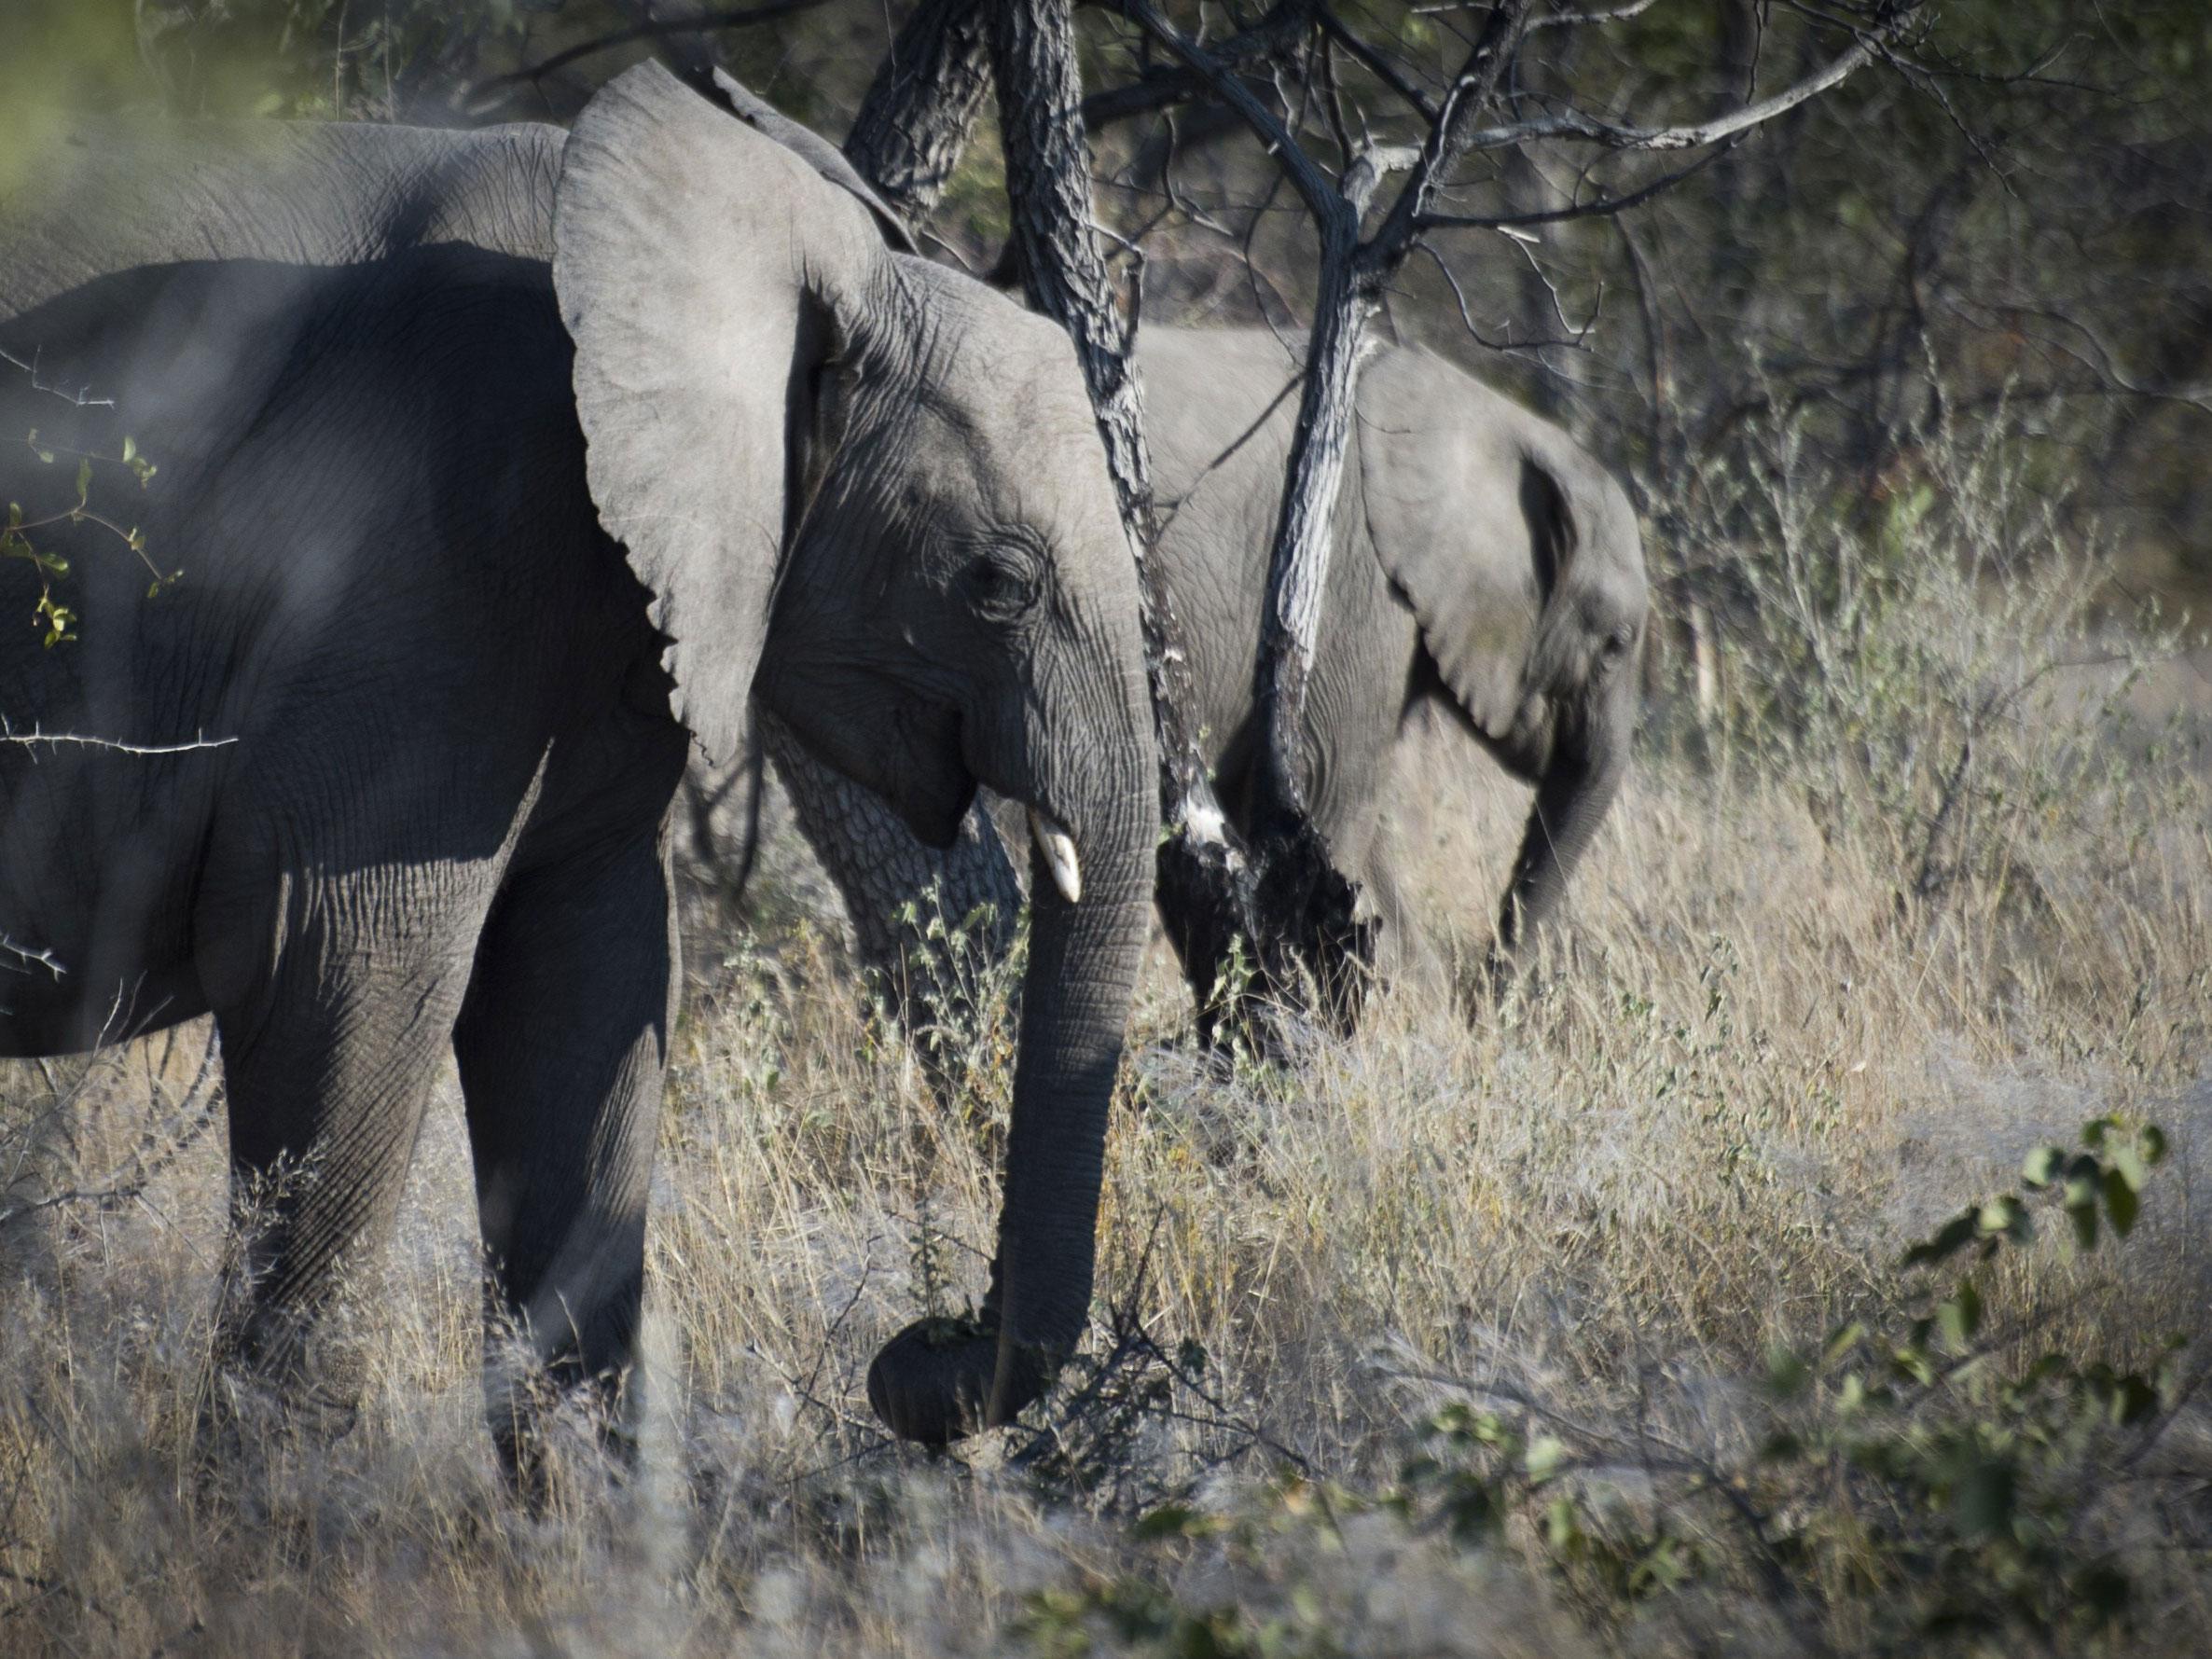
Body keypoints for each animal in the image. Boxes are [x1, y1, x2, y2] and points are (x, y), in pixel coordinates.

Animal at [4, 58, 1158, 1451]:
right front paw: (286, 1506)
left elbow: (584, 980)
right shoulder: (428, 546)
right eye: (997, 583)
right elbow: (334, 957)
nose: (919, 1345)